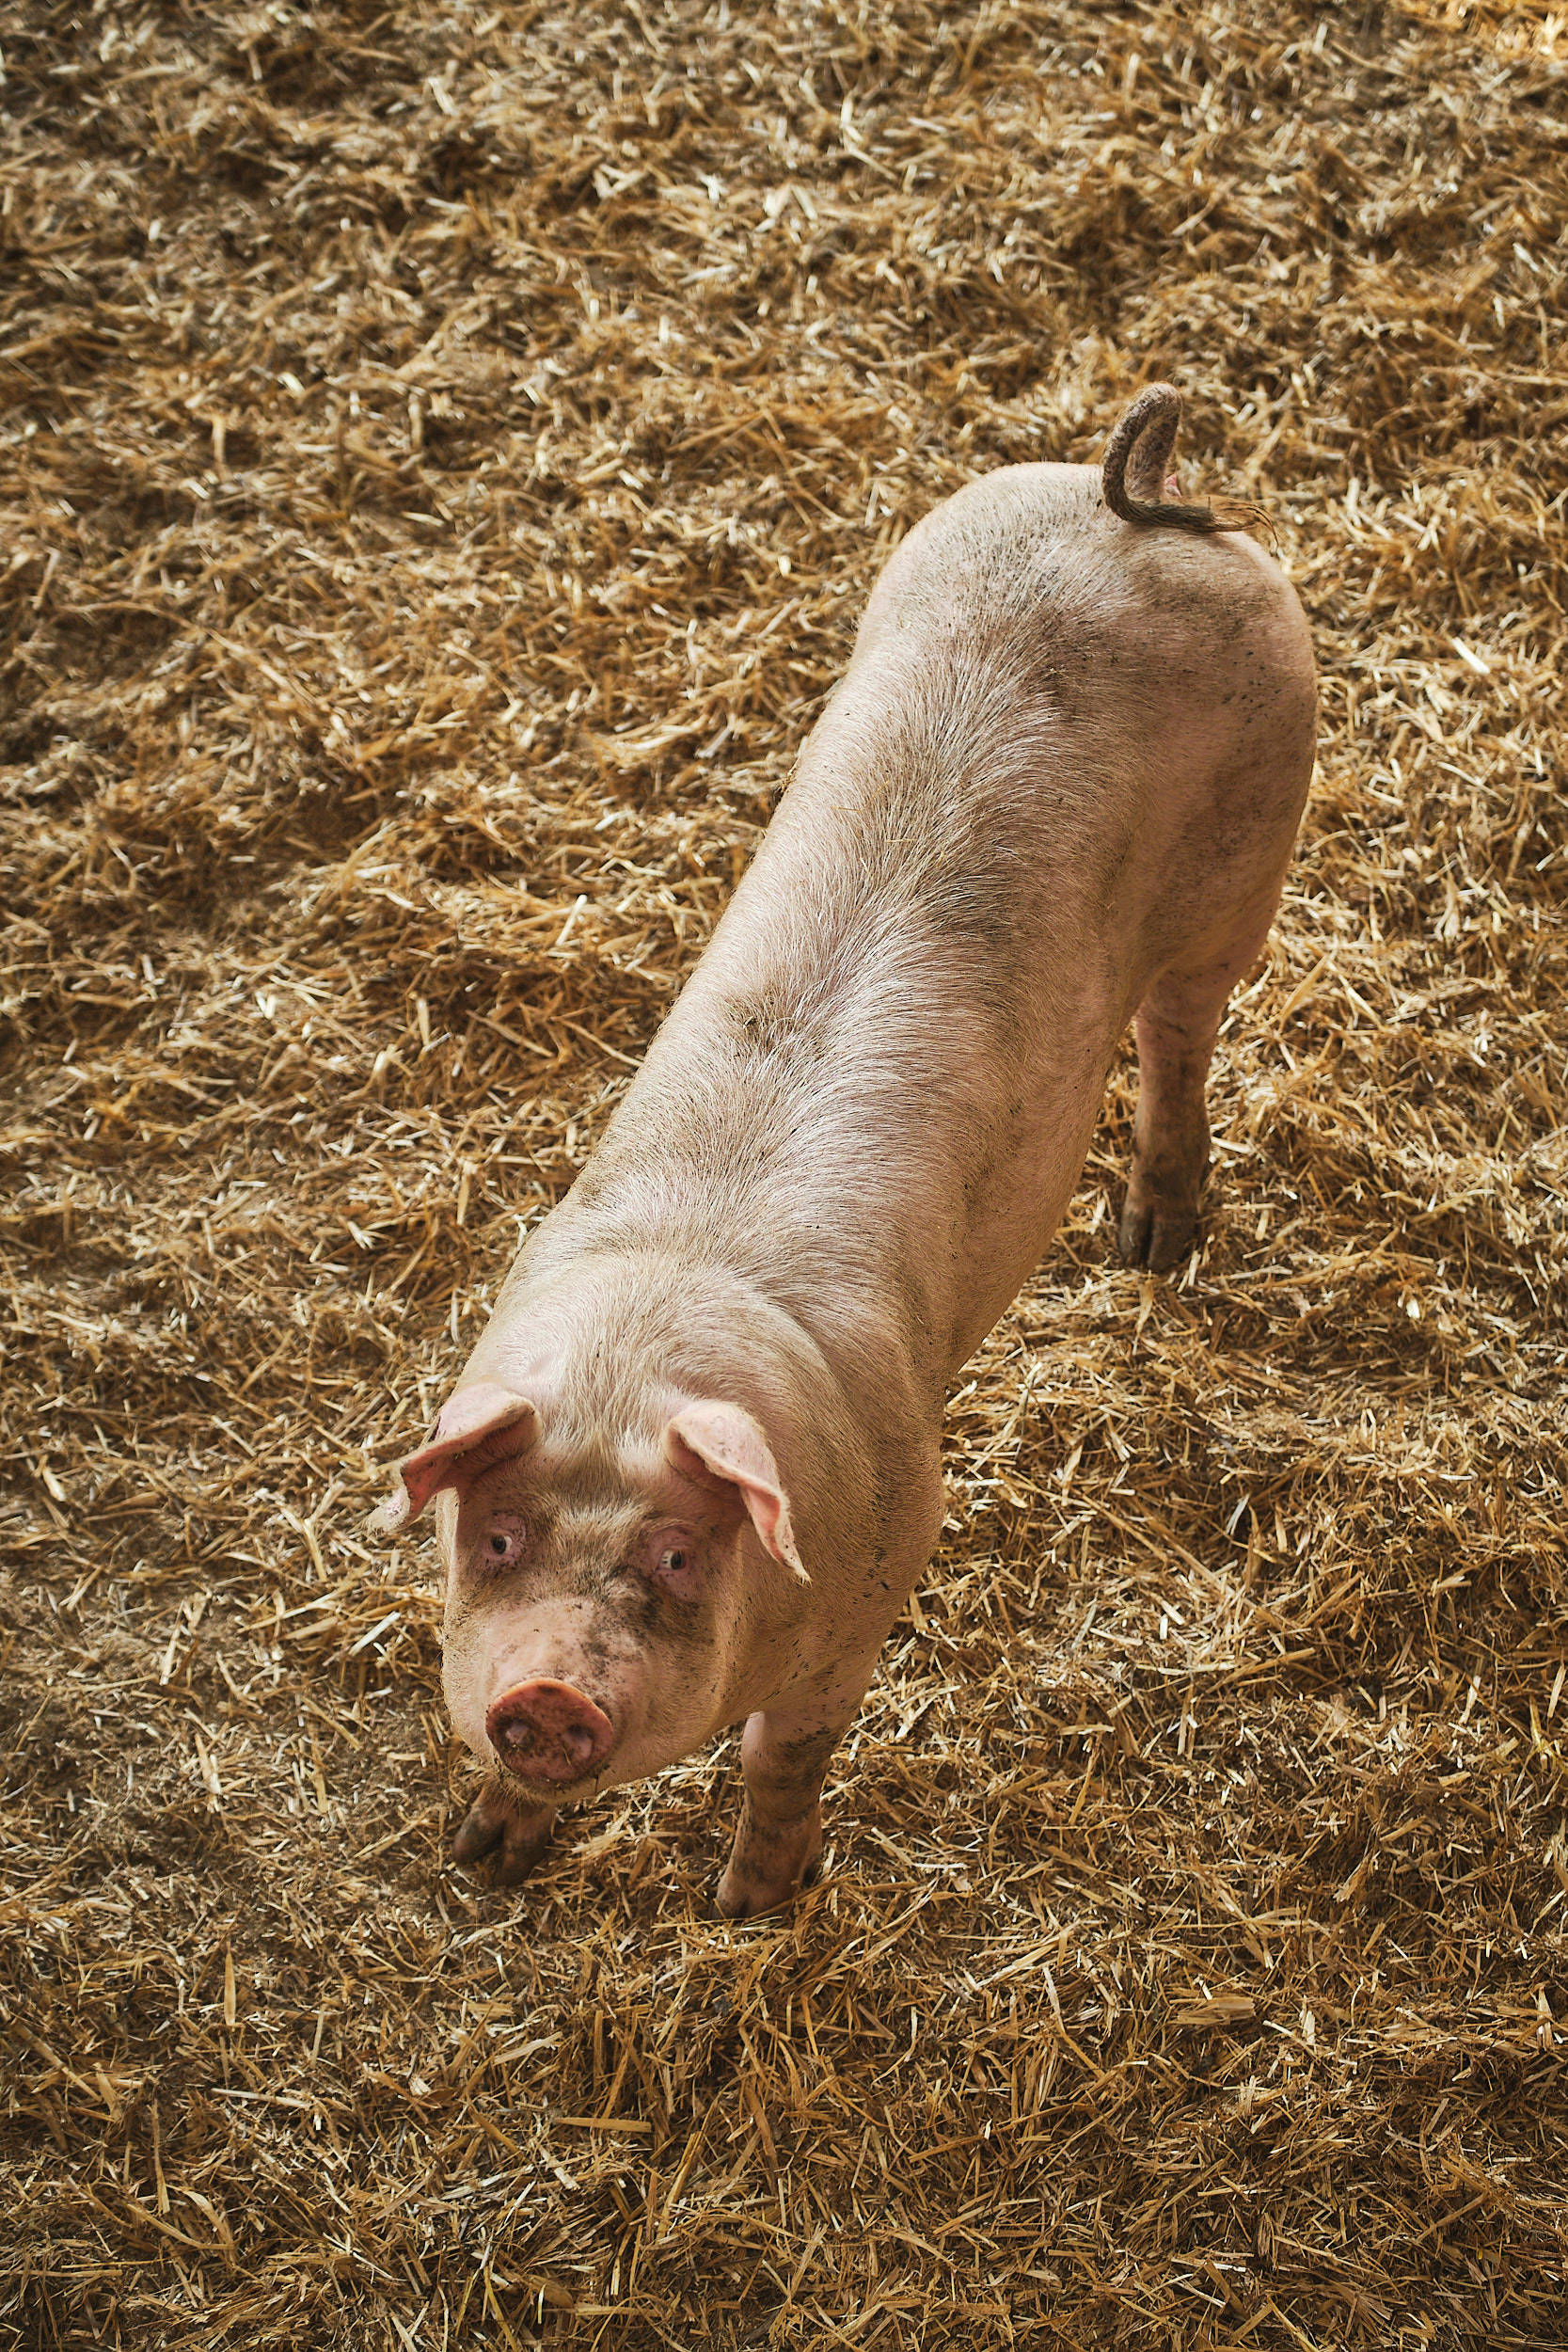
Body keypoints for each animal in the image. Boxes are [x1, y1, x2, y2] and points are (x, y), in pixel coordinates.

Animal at [369, 384, 1316, 1918]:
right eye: (495, 1539)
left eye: (678, 1552)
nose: (548, 1697)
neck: (646, 1340)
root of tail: (1128, 504)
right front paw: (481, 1857)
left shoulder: (886, 1558)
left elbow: (782, 1754)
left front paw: (750, 1908)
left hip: (1253, 836)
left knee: (1180, 1031)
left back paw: (1153, 1247)